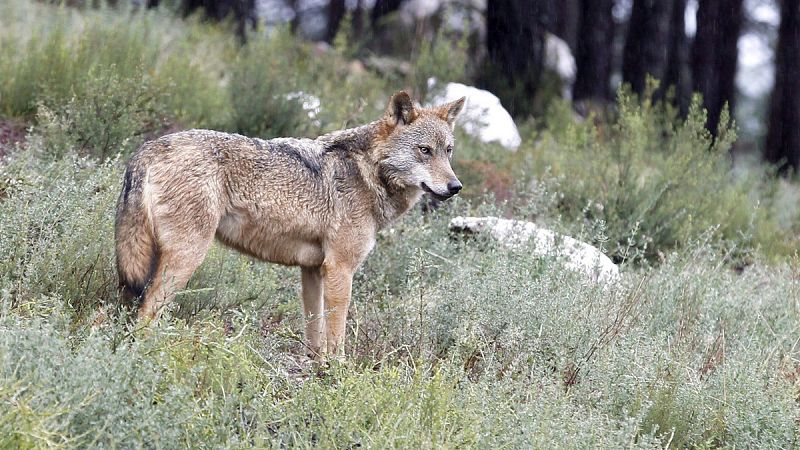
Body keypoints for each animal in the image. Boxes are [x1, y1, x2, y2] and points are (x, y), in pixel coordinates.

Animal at [112, 90, 462, 358]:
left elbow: (315, 335)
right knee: (146, 314)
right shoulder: (340, 269)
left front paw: (318, 371)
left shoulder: (313, 270)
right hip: (186, 259)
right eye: (424, 150)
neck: (368, 172)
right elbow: (336, 337)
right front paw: (340, 376)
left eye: (448, 151)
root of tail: (148, 148)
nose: (455, 187)